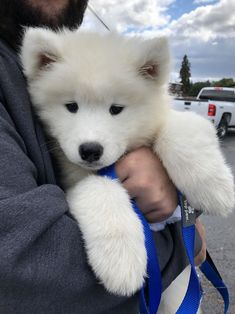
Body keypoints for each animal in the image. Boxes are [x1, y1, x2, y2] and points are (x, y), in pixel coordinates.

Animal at [21, 28, 234, 304]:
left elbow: (182, 131)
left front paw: (215, 189)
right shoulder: (74, 179)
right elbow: (101, 189)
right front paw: (121, 262)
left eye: (116, 109)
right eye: (71, 106)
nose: (90, 150)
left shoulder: (175, 119)